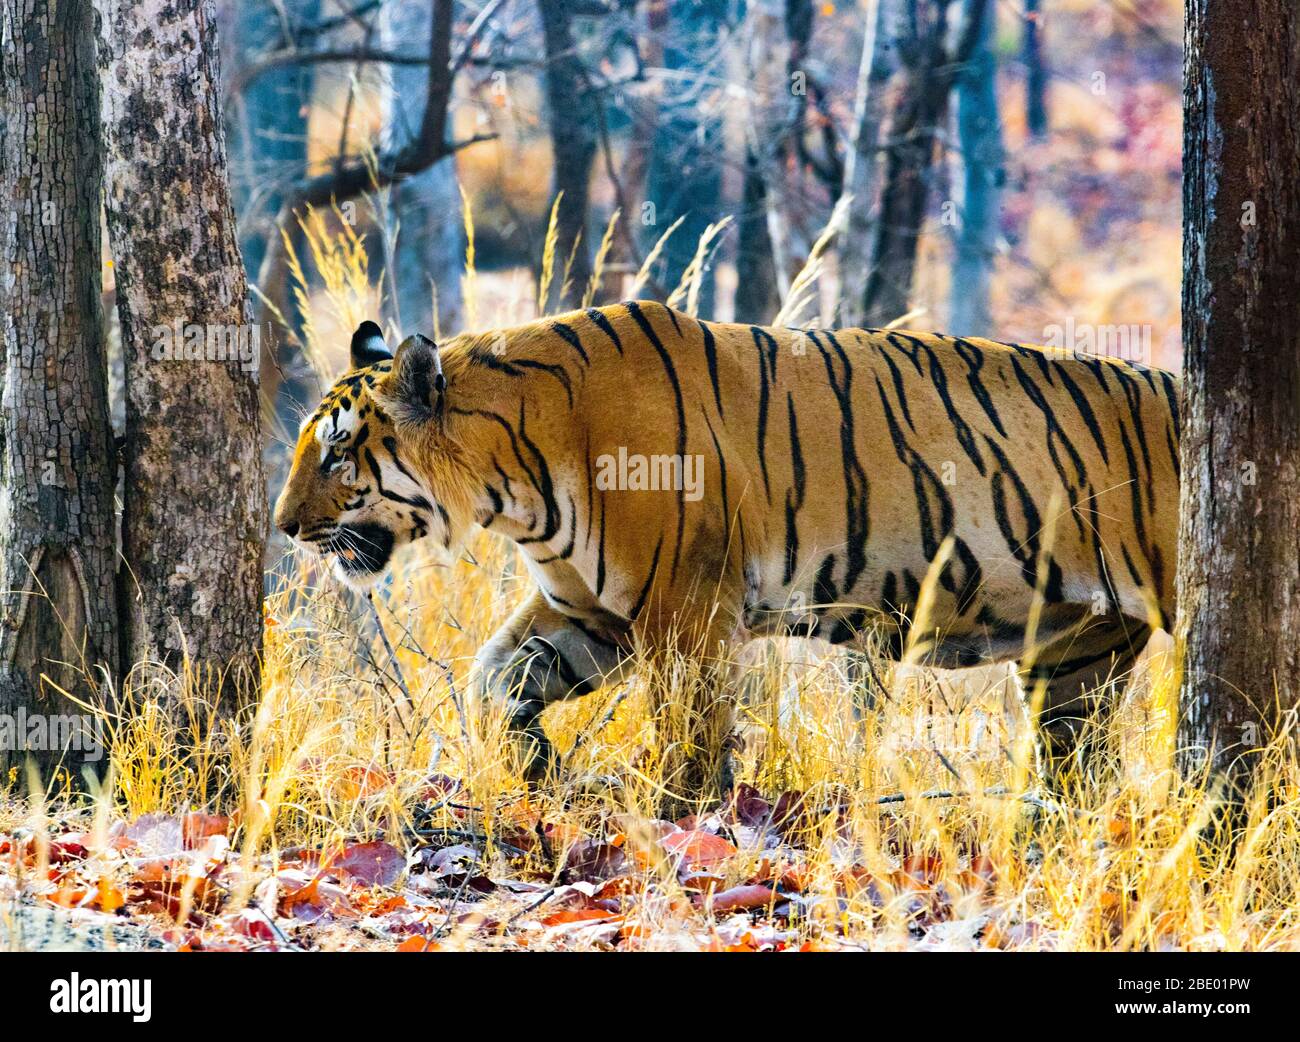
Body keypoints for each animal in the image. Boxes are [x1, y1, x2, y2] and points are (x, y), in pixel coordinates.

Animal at [274, 304, 1180, 789]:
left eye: (338, 452)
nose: (282, 526)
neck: (513, 485)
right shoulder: (589, 611)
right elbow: (492, 679)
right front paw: (534, 765)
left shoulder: (684, 607)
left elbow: (690, 730)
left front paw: (687, 820)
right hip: (1077, 654)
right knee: (1078, 771)